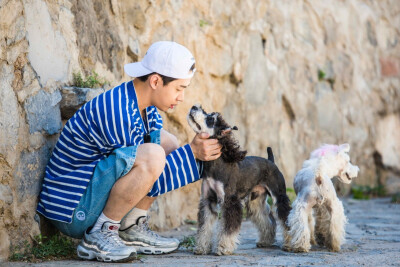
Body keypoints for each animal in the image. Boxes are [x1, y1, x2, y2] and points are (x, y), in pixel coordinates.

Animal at [188, 105, 290, 256]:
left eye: (210, 119)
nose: (194, 106)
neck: (216, 164)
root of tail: (271, 161)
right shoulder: (207, 201)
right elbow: (204, 226)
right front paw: (201, 247)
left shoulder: (230, 202)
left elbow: (228, 228)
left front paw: (223, 248)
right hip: (256, 201)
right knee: (268, 220)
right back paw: (266, 241)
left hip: (279, 196)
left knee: (287, 219)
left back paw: (294, 244)